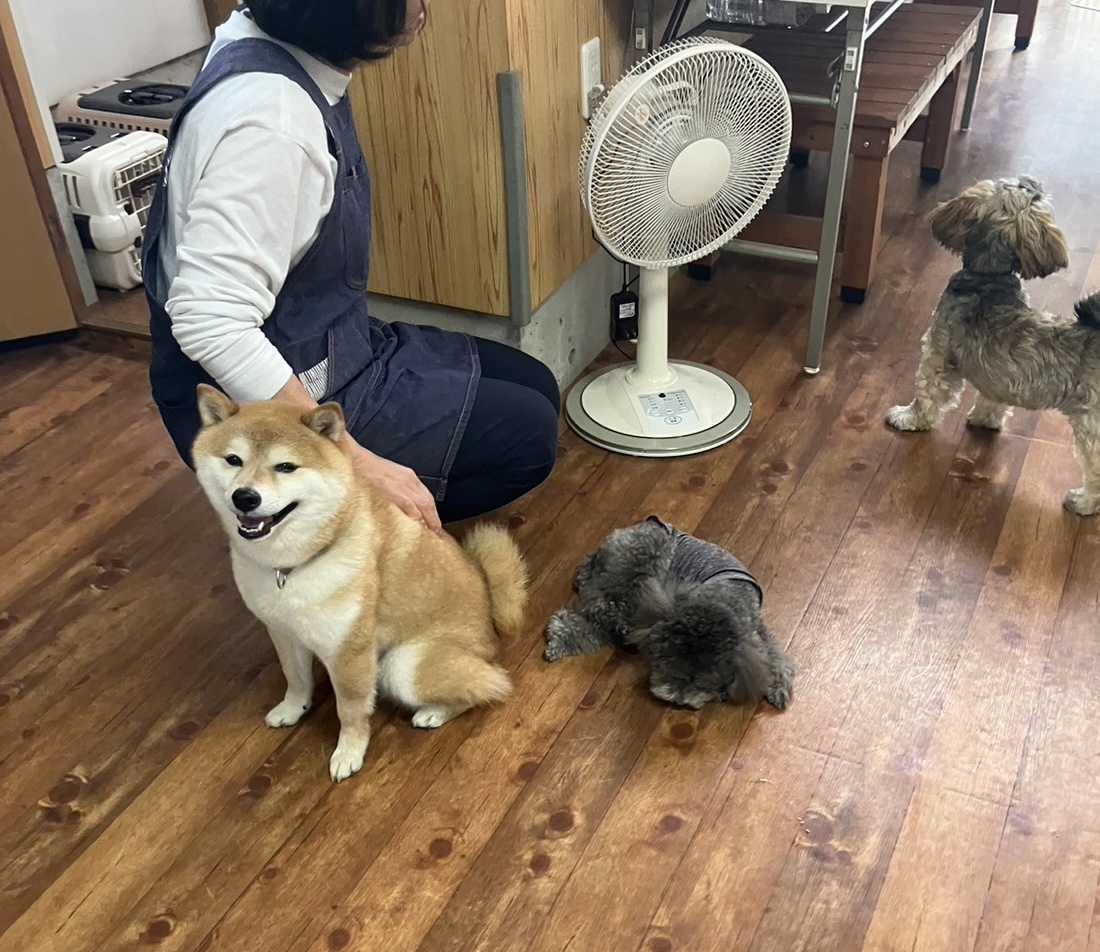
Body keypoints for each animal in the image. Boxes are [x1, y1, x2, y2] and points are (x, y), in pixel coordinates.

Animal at [191, 385, 528, 781]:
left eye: (286, 467)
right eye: (233, 460)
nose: (244, 496)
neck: (290, 565)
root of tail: (491, 627)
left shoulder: (349, 652)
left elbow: (350, 710)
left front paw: (349, 752)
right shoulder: (283, 631)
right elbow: (296, 678)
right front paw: (293, 708)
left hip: (400, 664)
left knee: (489, 686)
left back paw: (434, 712)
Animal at [543, 516, 795, 711]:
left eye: (702, 680)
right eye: (667, 666)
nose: (678, 701)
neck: (723, 598)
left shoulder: (756, 630)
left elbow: (775, 656)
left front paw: (778, 687)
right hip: (645, 559)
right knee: (599, 603)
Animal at [885, 174, 1100, 514]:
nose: (1033, 181)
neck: (988, 277)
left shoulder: (937, 354)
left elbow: (927, 395)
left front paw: (908, 418)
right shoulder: (999, 379)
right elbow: (992, 399)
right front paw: (985, 421)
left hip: (1092, 426)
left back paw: (1082, 502)